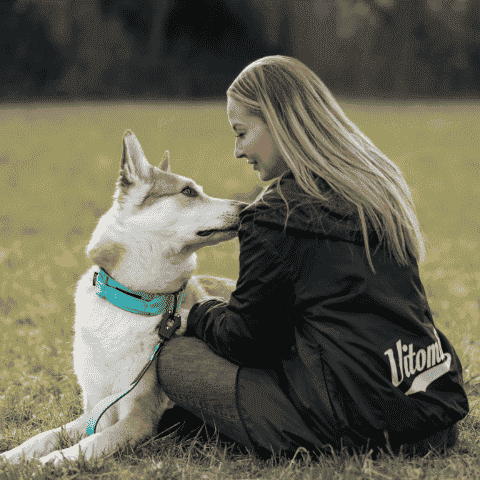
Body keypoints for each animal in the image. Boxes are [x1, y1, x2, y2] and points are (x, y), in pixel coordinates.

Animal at [0, 130, 248, 464]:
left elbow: (90, 444)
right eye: (188, 191)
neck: (135, 298)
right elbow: (45, 436)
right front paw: (12, 457)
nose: (247, 206)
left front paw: (54, 461)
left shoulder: (137, 418)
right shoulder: (94, 410)